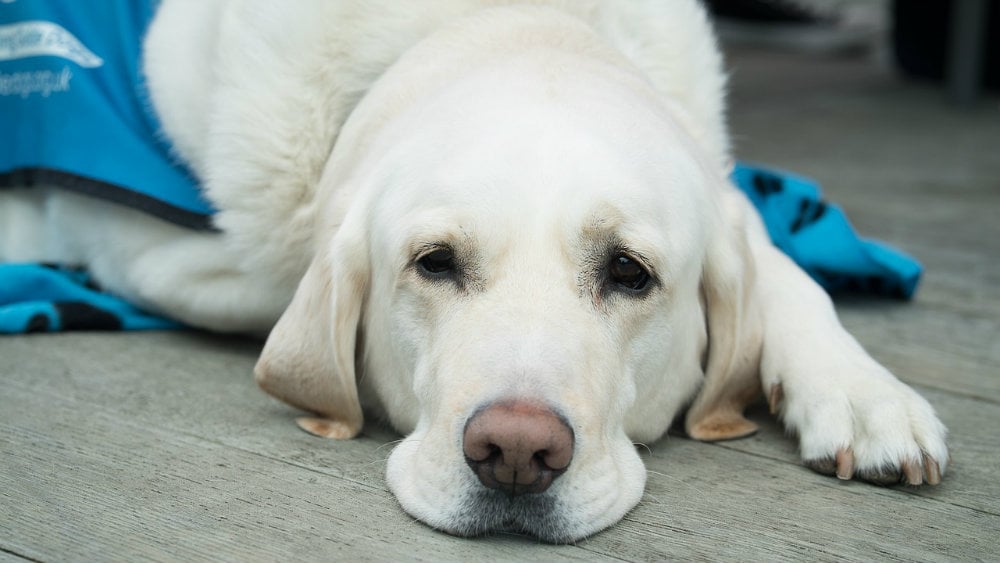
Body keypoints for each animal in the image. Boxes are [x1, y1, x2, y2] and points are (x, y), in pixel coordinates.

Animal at [3, 0, 948, 544]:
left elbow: (785, 272)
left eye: (630, 272)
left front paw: (864, 394)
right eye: (434, 262)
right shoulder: (159, 249)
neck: (501, 18)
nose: (517, 452)